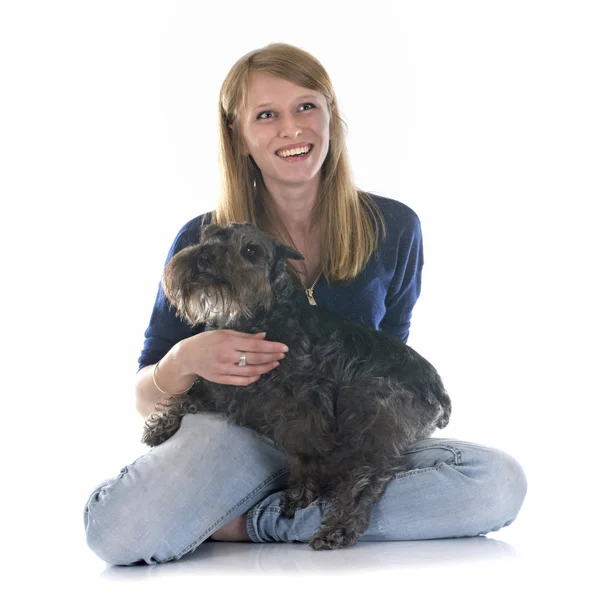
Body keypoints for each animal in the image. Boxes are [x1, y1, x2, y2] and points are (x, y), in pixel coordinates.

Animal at [142, 220, 450, 548]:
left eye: (250, 250)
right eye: (207, 238)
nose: (204, 257)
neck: (257, 318)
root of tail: (440, 392)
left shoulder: (304, 408)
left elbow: (305, 454)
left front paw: (301, 493)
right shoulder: (220, 379)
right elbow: (187, 390)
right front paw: (159, 424)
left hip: (369, 413)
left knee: (368, 474)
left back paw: (338, 528)